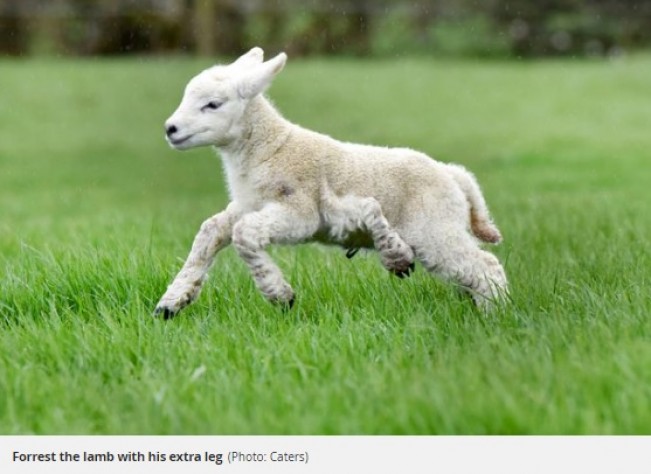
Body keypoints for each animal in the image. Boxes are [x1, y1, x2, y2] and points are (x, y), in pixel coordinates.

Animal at [154, 47, 510, 318]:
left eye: (213, 104)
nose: (170, 129)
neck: (268, 147)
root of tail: (453, 175)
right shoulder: (247, 204)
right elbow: (210, 232)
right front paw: (172, 302)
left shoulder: (301, 212)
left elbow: (245, 235)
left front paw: (280, 295)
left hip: (435, 229)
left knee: (486, 266)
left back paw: (495, 317)